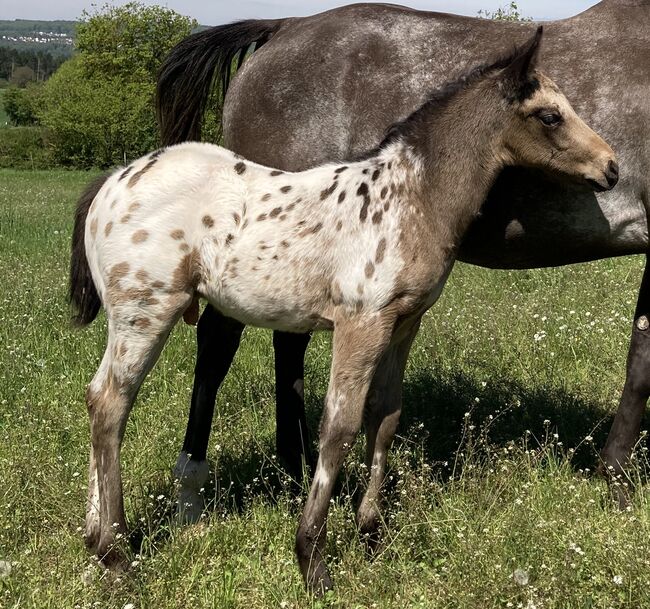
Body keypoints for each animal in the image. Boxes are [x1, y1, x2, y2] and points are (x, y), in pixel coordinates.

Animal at [68, 27, 616, 588]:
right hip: (146, 312)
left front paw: (371, 532)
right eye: (550, 115)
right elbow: (339, 428)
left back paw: (93, 539)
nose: (611, 168)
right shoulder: (362, 323)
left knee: (100, 399)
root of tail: (113, 181)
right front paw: (312, 557)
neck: (410, 197)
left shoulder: (403, 324)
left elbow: (385, 416)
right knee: (110, 403)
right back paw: (115, 551)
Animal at [156, 0, 648, 512]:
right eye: (551, 116)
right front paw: (617, 481)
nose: (612, 167)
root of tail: (282, 27)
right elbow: (641, 364)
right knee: (218, 341)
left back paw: (296, 469)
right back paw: (192, 487)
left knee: (285, 344)